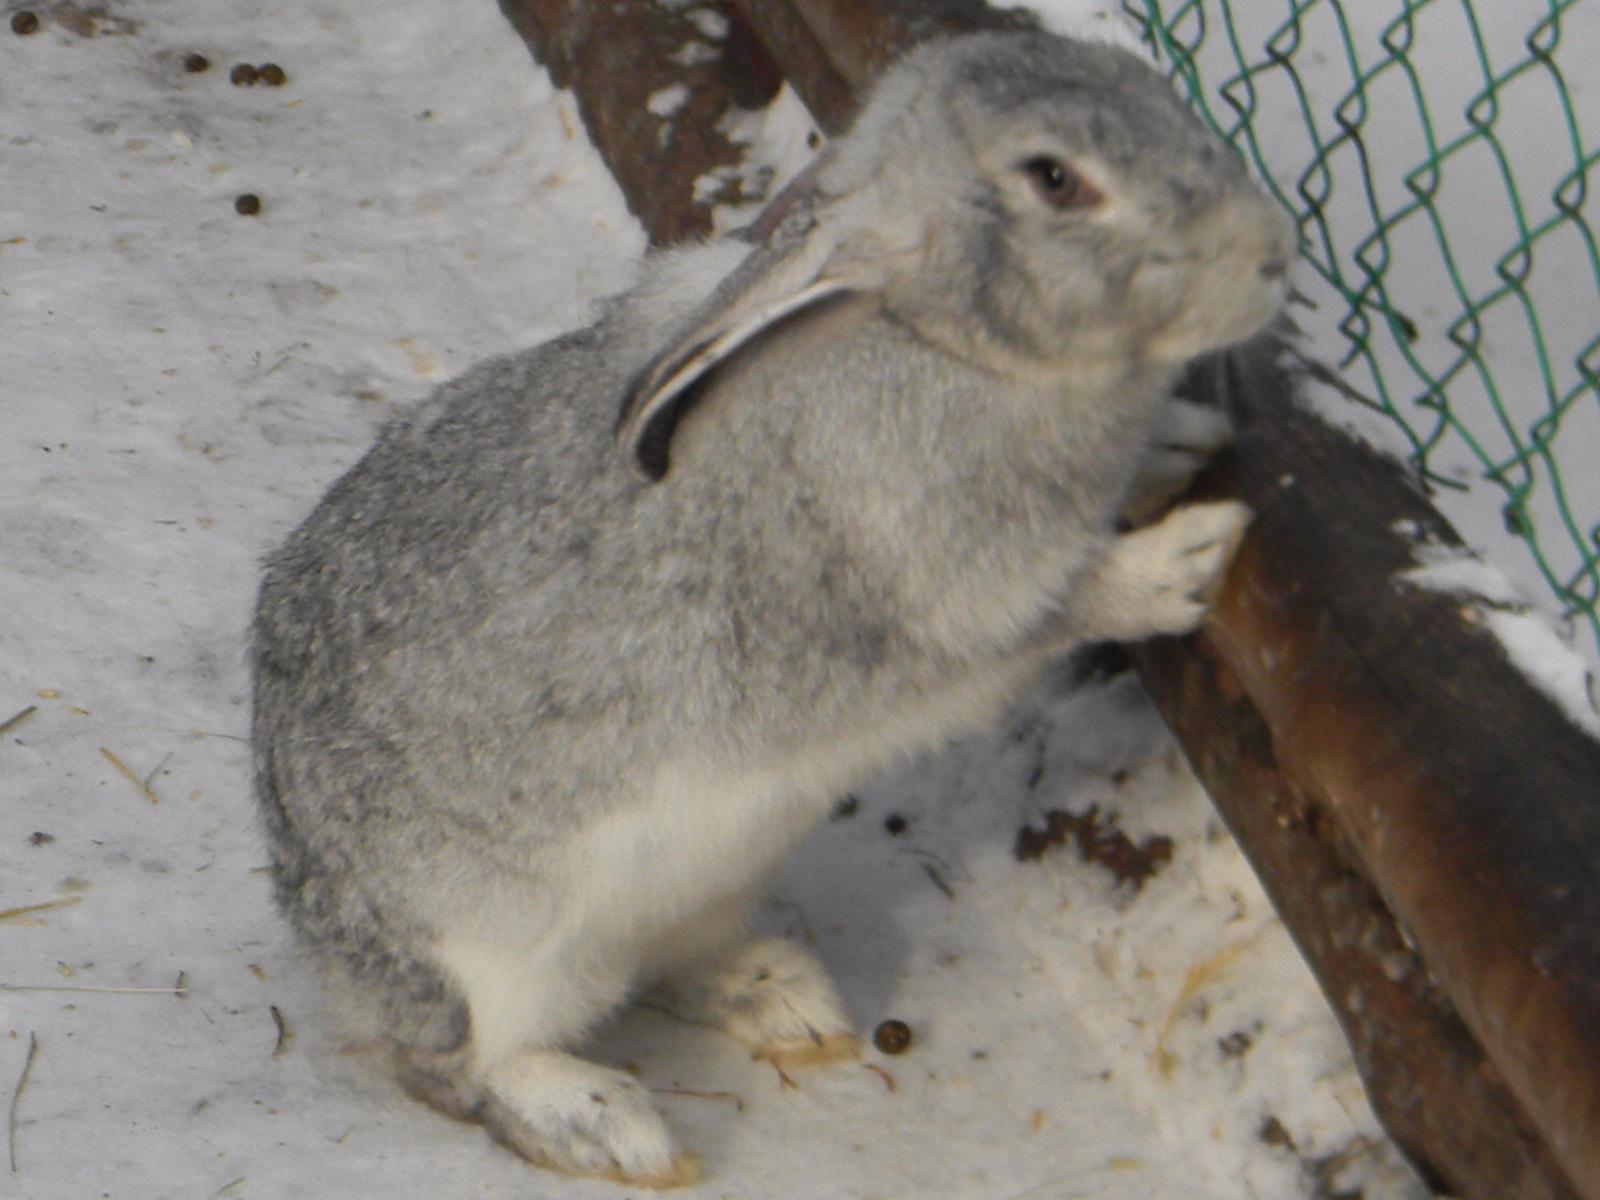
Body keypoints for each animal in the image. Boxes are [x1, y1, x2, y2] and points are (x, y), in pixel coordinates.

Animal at [252, 30, 1299, 1196]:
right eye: (1055, 179)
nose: (1274, 254)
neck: (926, 338)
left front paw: (1178, 441)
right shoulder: (956, 595)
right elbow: (1066, 602)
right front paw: (1187, 560)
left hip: (709, 872)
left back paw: (780, 999)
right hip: (495, 948)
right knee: (462, 1067)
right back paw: (606, 1123)